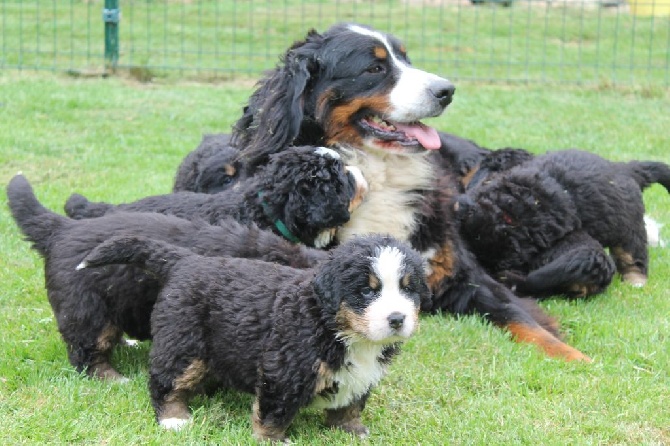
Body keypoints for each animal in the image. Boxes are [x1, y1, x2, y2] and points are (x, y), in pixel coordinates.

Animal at [76, 233, 428, 442]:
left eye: (408, 288)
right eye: (367, 291)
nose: (397, 318)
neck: (334, 326)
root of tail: (188, 260)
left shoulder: (362, 375)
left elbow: (351, 404)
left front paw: (351, 431)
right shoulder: (284, 369)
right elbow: (274, 411)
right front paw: (273, 440)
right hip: (183, 344)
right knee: (166, 383)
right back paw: (174, 419)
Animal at [228, 22, 592, 360]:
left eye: (406, 58)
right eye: (374, 68)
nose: (447, 90)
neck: (380, 178)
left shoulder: (463, 275)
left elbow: (522, 319)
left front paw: (576, 358)